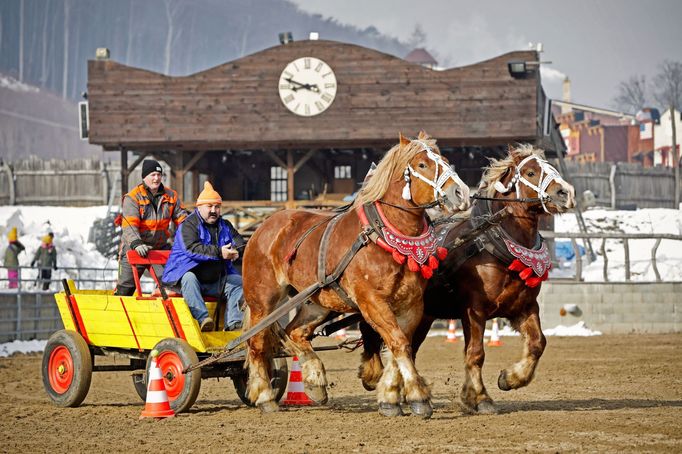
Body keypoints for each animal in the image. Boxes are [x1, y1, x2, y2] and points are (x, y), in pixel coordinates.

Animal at [239, 132, 468, 418]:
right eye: (423, 165)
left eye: (445, 159)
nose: (462, 193)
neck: (382, 237)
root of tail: (262, 228)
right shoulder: (372, 301)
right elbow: (399, 343)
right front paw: (417, 397)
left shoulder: (412, 303)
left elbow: (399, 345)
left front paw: (389, 396)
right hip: (263, 301)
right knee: (257, 343)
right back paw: (265, 397)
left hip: (317, 301)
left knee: (295, 332)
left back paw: (315, 381)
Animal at [356, 145, 572, 414]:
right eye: (531, 172)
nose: (565, 193)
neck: (493, 244)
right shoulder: (473, 310)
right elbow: (476, 353)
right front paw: (480, 397)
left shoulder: (525, 306)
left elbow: (537, 343)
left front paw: (510, 378)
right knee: (372, 333)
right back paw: (373, 376)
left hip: (423, 315)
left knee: (408, 347)